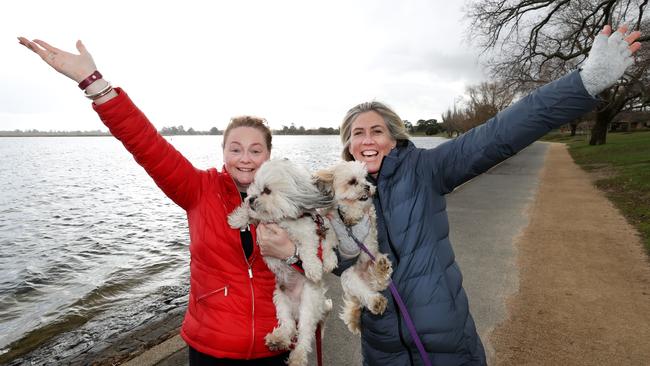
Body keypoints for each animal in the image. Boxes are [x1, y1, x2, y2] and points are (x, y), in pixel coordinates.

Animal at [227, 159, 336, 366]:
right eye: (254, 187)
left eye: (267, 190)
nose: (251, 198)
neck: (282, 219)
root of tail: (295, 308)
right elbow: (251, 215)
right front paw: (238, 218)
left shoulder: (307, 233)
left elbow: (307, 249)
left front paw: (313, 268)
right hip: (280, 300)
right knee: (288, 326)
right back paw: (278, 339)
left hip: (308, 305)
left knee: (305, 334)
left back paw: (298, 357)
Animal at [312, 162, 390, 336]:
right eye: (353, 181)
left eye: (365, 179)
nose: (368, 186)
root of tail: (367, 276)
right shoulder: (329, 222)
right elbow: (328, 238)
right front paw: (329, 260)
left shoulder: (369, 219)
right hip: (350, 279)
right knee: (368, 292)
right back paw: (376, 301)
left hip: (374, 262)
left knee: (381, 282)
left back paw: (381, 268)